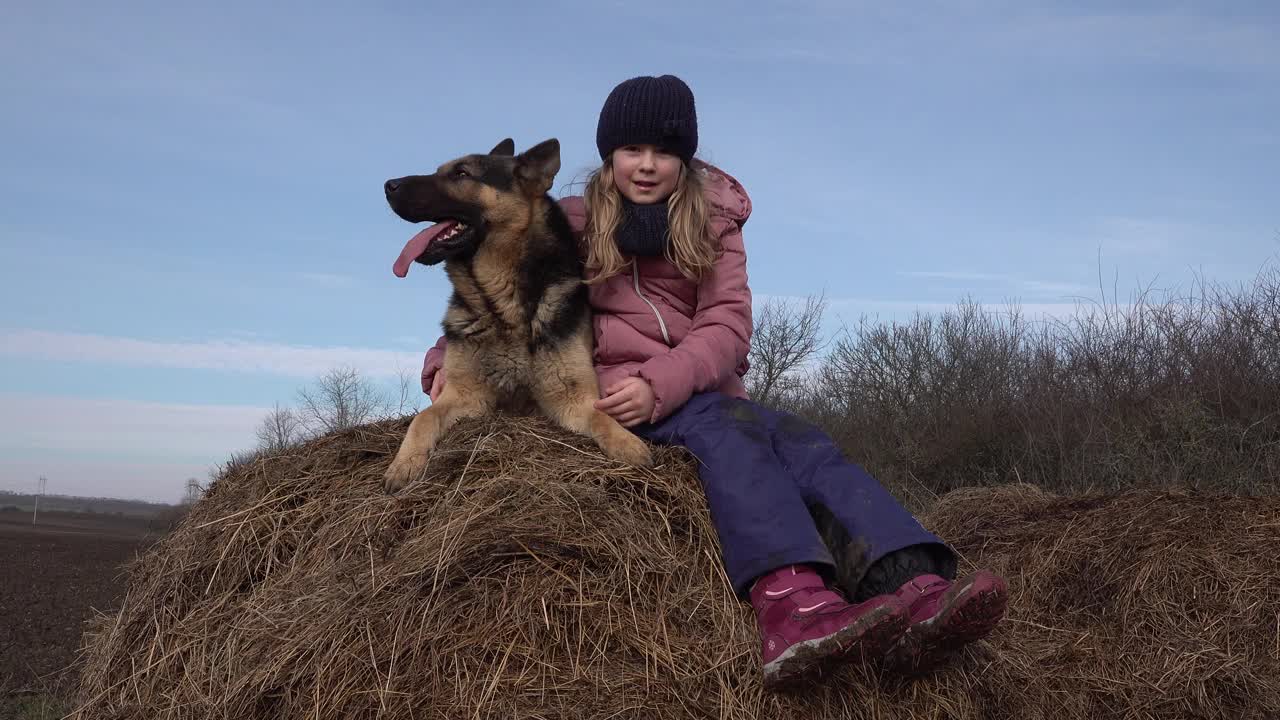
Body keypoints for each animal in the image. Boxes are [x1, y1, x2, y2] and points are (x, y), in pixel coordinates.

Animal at [378, 137, 655, 489]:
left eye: (461, 173)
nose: (389, 185)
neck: (502, 308)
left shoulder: (572, 398)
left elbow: (601, 416)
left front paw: (627, 443)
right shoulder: (464, 394)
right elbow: (424, 418)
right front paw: (404, 463)